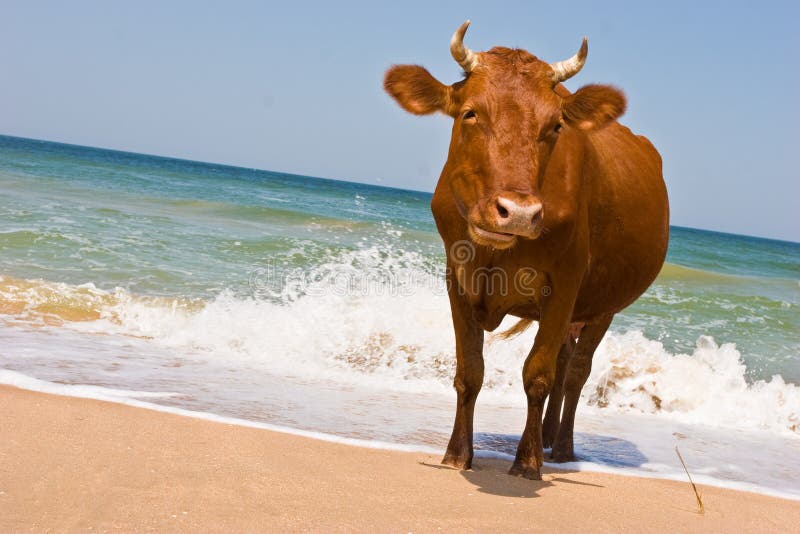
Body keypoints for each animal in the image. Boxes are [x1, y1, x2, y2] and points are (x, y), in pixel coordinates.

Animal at [382, 22, 668, 482]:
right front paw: (457, 453)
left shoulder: (565, 283)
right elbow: (469, 371)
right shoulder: (456, 278)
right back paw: (549, 437)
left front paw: (527, 460)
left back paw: (561, 448)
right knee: (565, 363)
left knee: (575, 373)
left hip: (603, 307)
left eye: (555, 126)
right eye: (470, 113)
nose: (517, 213)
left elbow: (538, 374)